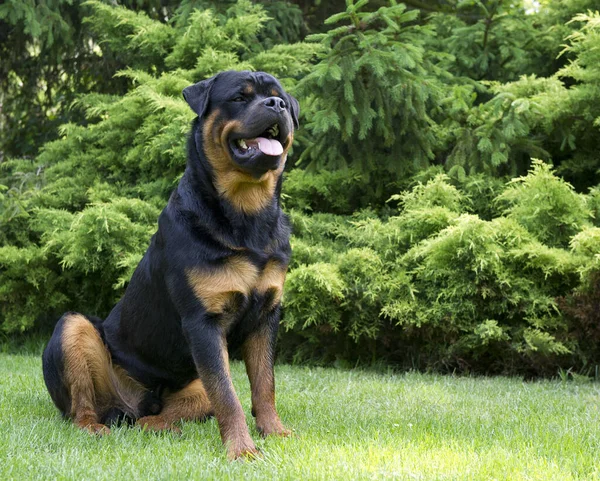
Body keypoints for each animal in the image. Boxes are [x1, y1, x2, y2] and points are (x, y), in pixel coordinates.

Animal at [41, 70, 298, 458]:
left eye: (279, 96)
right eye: (240, 97)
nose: (277, 105)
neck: (247, 214)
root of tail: (134, 404)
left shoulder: (266, 316)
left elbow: (264, 385)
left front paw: (274, 432)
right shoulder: (202, 322)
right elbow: (229, 396)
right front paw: (242, 450)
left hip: (192, 387)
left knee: (158, 416)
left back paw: (163, 427)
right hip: (73, 331)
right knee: (80, 406)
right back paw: (94, 427)